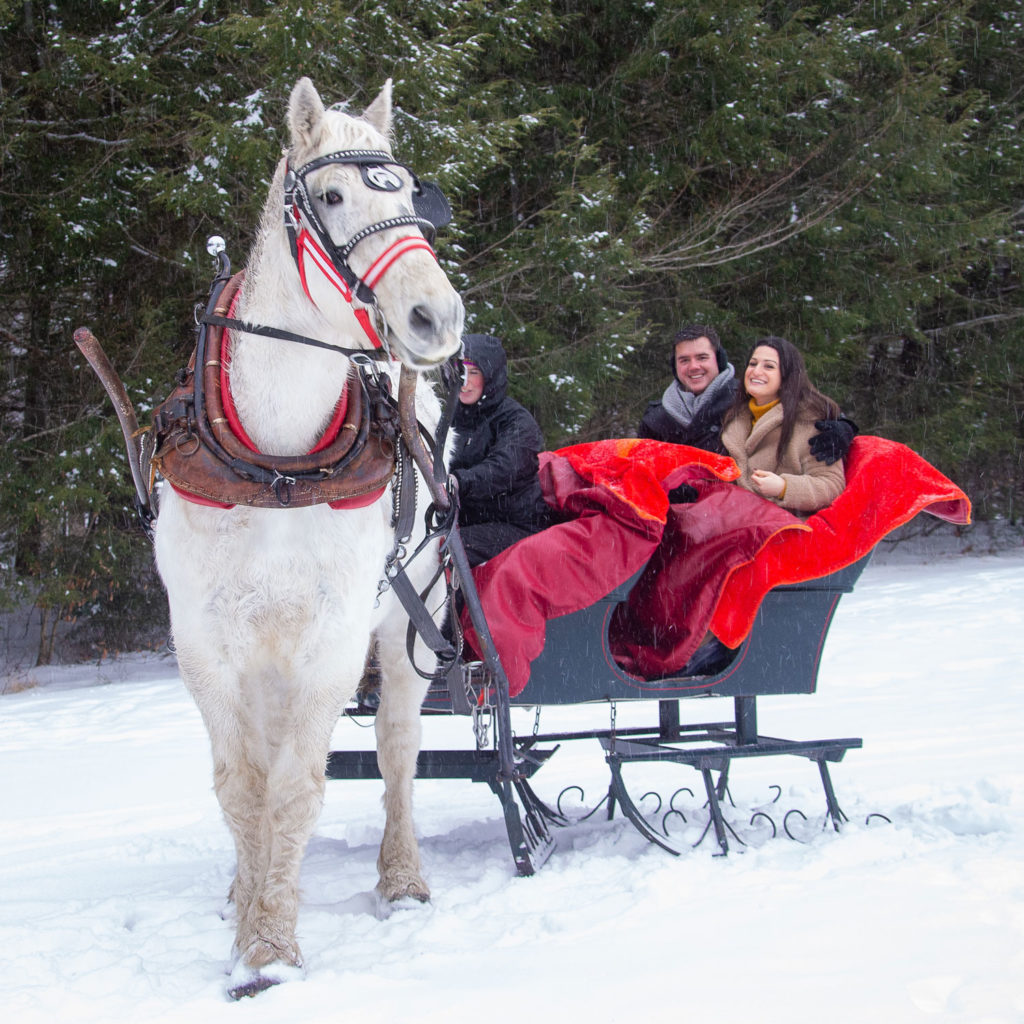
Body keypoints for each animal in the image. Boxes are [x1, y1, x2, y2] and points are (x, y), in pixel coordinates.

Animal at [152, 79, 464, 999]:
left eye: (411, 195)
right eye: (329, 197)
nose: (436, 316)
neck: (278, 464)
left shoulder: (331, 640)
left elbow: (296, 790)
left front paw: (273, 953)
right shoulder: (207, 642)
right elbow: (242, 791)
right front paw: (250, 919)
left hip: (410, 622)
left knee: (399, 748)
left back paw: (402, 878)